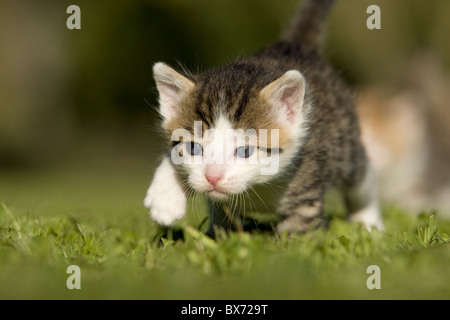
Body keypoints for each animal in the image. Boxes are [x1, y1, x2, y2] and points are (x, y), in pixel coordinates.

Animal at [144, 0, 384, 235]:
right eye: (193, 148)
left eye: (245, 151)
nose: (213, 177)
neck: (257, 186)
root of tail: (293, 46)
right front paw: (165, 199)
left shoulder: (307, 189)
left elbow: (300, 232)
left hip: (345, 148)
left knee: (363, 179)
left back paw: (368, 222)